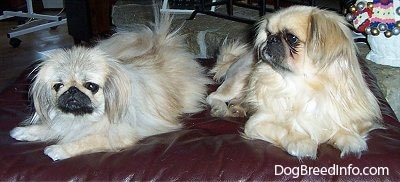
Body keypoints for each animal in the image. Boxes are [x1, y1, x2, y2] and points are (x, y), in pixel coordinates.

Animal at [8, 9, 209, 161]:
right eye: (58, 86)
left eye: (91, 86)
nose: (72, 91)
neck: (84, 118)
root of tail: (159, 46)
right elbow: (48, 127)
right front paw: (23, 132)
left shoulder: (117, 135)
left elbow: (86, 141)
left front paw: (58, 149)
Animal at [208, 5, 382, 159]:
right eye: (268, 33)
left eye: (291, 38)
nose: (271, 39)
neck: (305, 86)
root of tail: (236, 59)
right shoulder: (256, 123)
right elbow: (285, 130)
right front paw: (301, 142)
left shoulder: (359, 119)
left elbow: (345, 128)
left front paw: (350, 139)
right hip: (236, 83)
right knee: (213, 96)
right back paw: (221, 108)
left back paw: (238, 108)